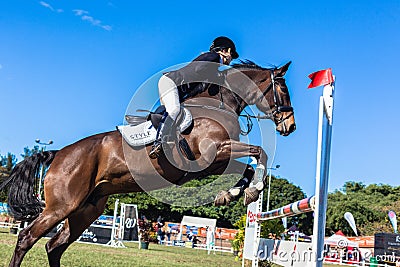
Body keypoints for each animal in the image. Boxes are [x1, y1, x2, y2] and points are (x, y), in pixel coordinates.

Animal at [0, 59, 294, 266]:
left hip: (85, 210)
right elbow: (259, 153)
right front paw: (252, 189)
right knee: (27, 238)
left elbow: (248, 165)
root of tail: (60, 153)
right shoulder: (215, 153)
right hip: (62, 206)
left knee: (54, 247)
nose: (290, 126)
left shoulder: (216, 162)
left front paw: (235, 193)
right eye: (283, 89)